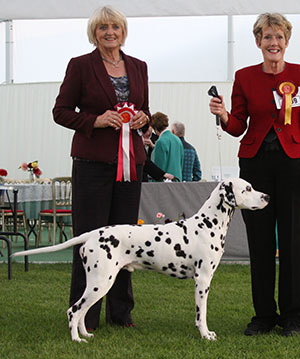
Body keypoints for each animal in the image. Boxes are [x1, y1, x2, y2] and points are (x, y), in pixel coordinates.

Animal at [12, 179, 270, 344]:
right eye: (248, 188)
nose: (267, 196)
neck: (207, 224)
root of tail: (92, 234)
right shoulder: (203, 280)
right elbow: (201, 314)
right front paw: (205, 336)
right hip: (100, 283)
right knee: (74, 310)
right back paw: (76, 340)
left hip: (96, 283)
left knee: (83, 311)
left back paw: (85, 334)